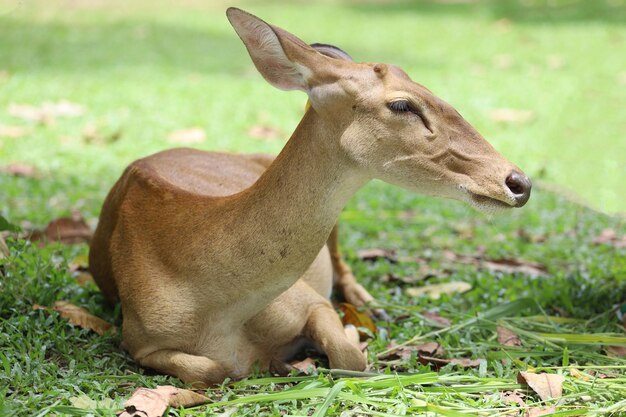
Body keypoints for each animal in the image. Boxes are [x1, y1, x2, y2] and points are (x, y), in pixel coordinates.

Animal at [86, 7, 528, 386]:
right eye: (403, 104)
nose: (519, 182)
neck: (214, 308)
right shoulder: (139, 339)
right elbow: (212, 369)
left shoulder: (308, 300)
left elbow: (349, 358)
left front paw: (349, 332)